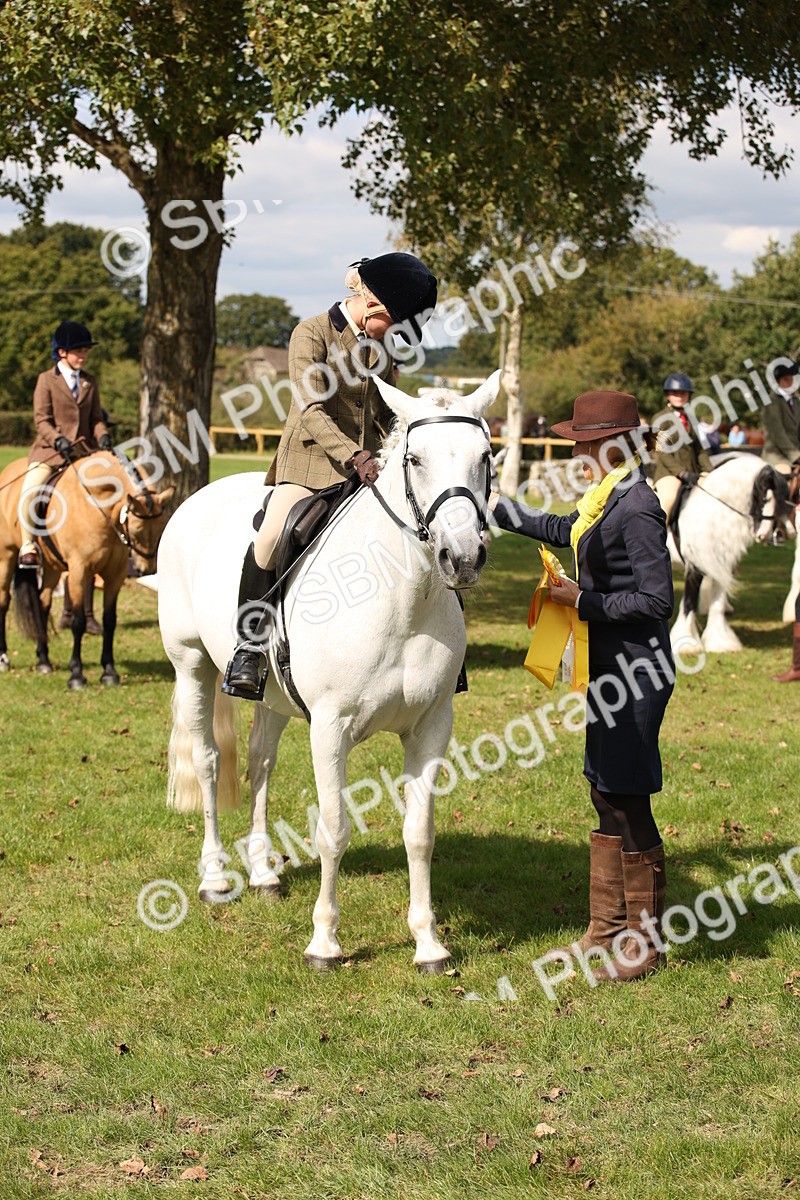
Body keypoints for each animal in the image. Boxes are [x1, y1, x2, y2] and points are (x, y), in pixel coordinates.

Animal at [0, 450, 174, 687]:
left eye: (161, 527)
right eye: (137, 529)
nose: (145, 569)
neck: (97, 506)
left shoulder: (115, 575)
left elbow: (110, 621)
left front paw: (109, 672)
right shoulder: (78, 572)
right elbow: (78, 621)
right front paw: (76, 674)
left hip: (52, 567)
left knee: (43, 602)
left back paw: (43, 660)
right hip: (6, 557)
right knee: (3, 602)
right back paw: (4, 659)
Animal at [157, 372, 500, 973]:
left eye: (485, 457)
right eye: (414, 459)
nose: (462, 559)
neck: (401, 599)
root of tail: (197, 499)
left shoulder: (432, 726)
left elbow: (420, 833)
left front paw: (428, 944)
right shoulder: (330, 727)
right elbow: (333, 829)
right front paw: (324, 942)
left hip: (269, 696)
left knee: (260, 762)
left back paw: (263, 873)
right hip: (190, 663)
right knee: (208, 762)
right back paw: (216, 877)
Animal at [668, 454, 796, 653]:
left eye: (783, 499)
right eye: (764, 497)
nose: (765, 535)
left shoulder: (723, 566)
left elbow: (718, 603)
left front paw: (721, 642)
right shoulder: (694, 567)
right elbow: (689, 603)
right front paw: (687, 645)